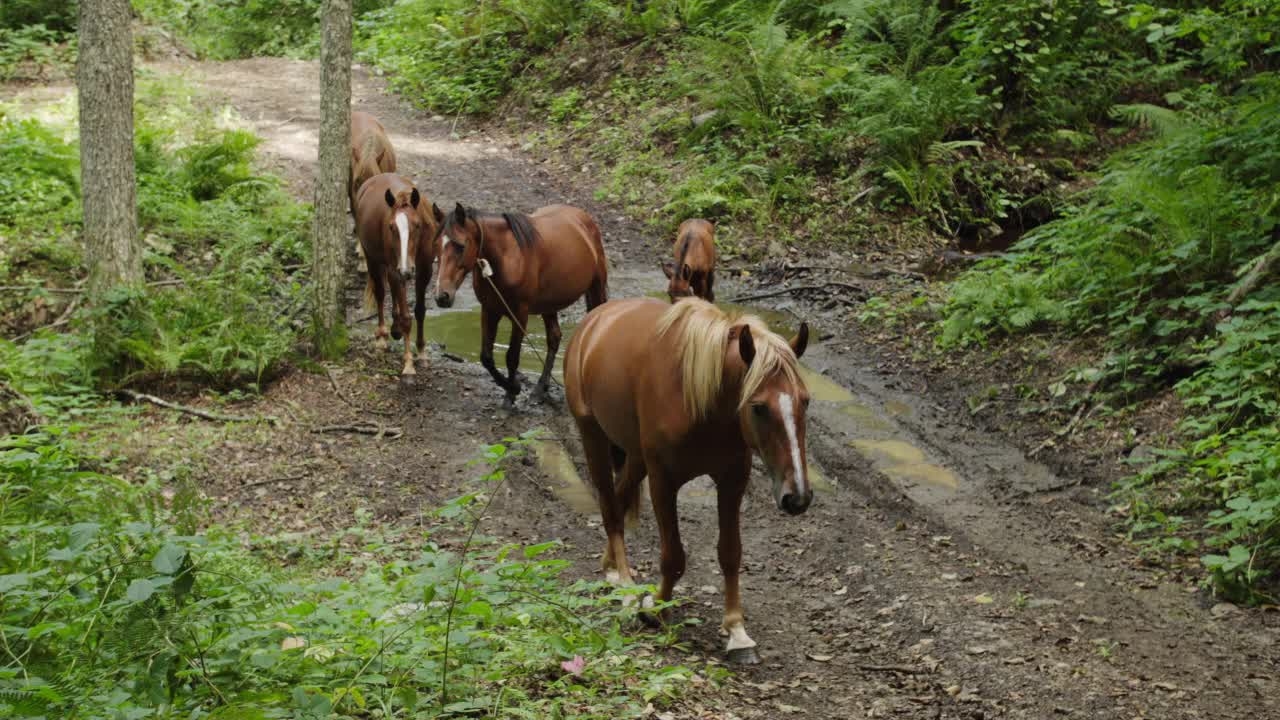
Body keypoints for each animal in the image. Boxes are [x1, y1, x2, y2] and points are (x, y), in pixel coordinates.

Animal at [358, 172, 442, 376]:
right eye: (391, 227)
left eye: (417, 225)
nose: (406, 270)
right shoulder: (396, 270)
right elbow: (406, 317)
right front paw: (408, 364)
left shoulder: (424, 270)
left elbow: (420, 311)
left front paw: (421, 352)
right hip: (373, 259)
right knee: (381, 293)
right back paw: (382, 336)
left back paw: (394, 329)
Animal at [435, 202, 609, 407]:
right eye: (436, 246)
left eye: (460, 246)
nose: (442, 296)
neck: (508, 259)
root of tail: (582, 218)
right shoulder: (489, 310)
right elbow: (486, 357)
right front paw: (511, 389)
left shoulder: (520, 314)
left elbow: (512, 357)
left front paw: (512, 391)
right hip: (548, 305)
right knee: (554, 338)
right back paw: (540, 389)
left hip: (596, 289)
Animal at [568, 295, 814, 661]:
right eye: (758, 407)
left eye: (805, 401)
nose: (797, 497)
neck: (701, 402)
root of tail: (596, 320)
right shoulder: (663, 481)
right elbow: (674, 557)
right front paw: (655, 609)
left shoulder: (732, 480)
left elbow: (731, 553)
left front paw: (736, 631)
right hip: (592, 435)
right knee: (611, 511)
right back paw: (625, 585)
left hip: (636, 456)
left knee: (621, 498)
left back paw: (610, 567)